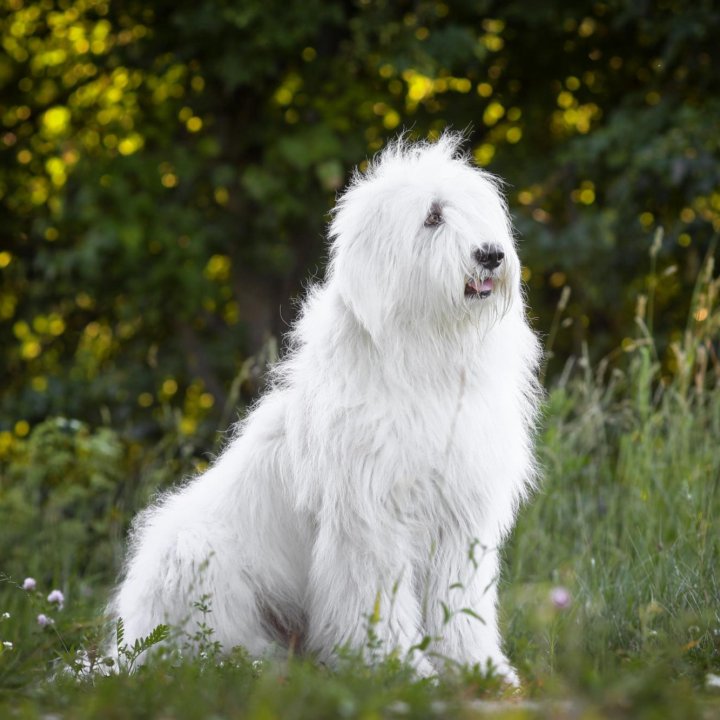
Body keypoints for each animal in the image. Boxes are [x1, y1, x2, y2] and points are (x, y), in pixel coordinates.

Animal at [109, 134, 540, 680]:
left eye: (478, 211)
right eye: (433, 217)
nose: (491, 255)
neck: (428, 358)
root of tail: (123, 647)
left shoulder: (460, 518)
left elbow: (460, 604)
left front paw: (476, 668)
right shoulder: (373, 519)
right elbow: (381, 601)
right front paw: (397, 666)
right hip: (195, 557)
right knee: (206, 650)